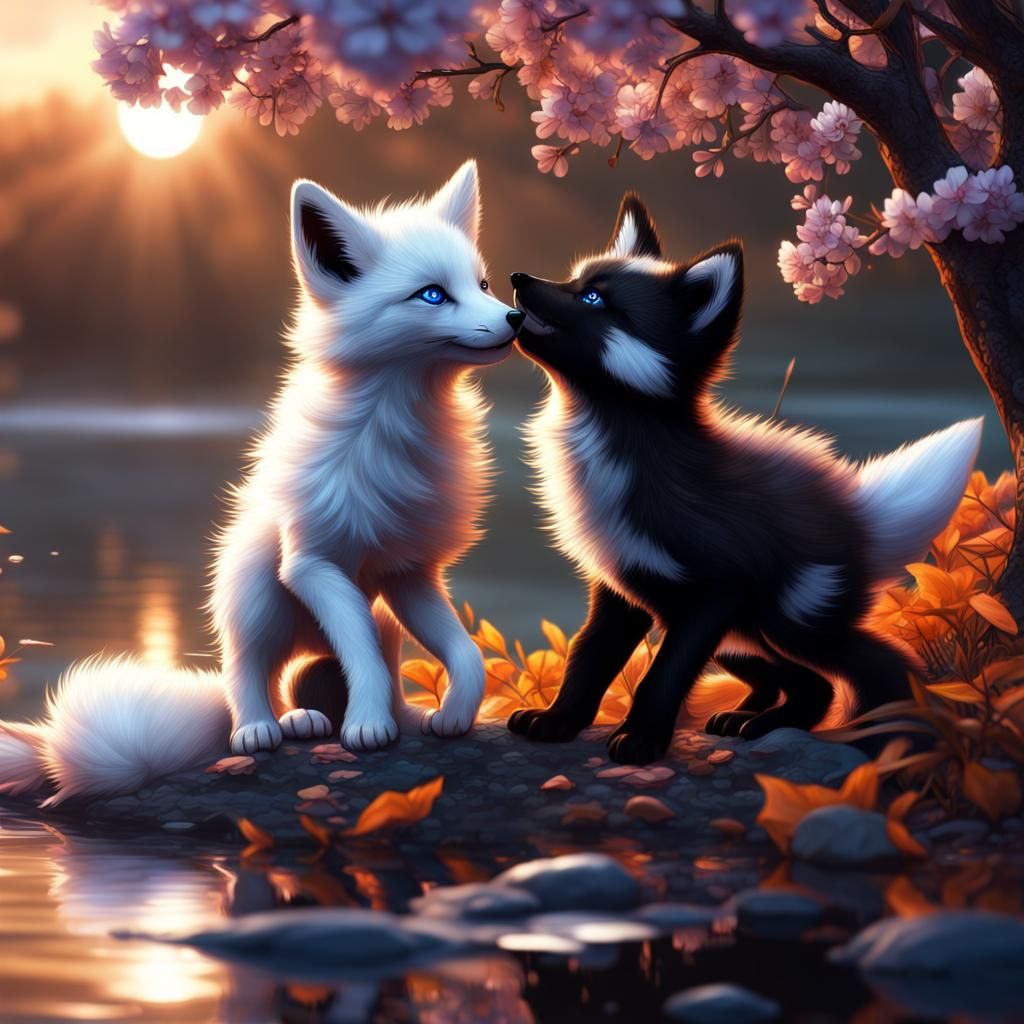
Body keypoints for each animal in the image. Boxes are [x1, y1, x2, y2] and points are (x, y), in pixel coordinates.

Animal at [0, 160, 524, 804]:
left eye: (481, 284)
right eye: (432, 293)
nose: (516, 317)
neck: (396, 427)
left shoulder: (408, 573)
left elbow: (462, 654)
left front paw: (450, 717)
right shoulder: (311, 564)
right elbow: (362, 654)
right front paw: (367, 728)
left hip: (364, 613)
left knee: (328, 670)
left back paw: (357, 719)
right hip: (254, 594)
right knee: (247, 673)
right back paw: (263, 728)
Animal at [507, 192, 982, 766]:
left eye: (594, 297)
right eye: (575, 278)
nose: (517, 276)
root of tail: (857, 513)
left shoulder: (715, 591)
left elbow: (663, 676)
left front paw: (641, 740)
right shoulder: (621, 586)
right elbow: (588, 659)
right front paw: (558, 722)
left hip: (787, 624)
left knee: (879, 666)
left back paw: (887, 739)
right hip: (744, 639)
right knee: (808, 684)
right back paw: (751, 720)